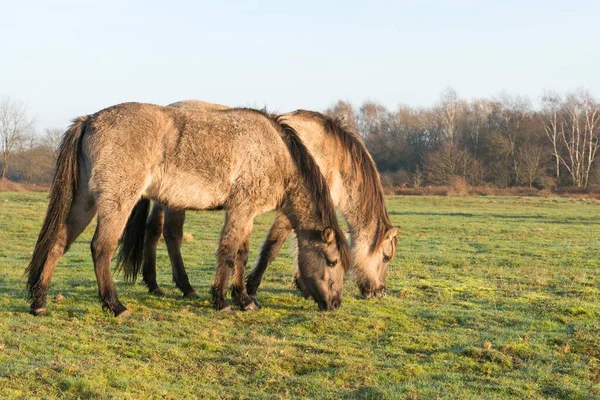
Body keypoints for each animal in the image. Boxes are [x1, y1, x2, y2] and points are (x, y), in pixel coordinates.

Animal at [25, 102, 350, 316]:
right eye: (331, 261)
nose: (335, 304)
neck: (275, 151)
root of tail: (89, 120)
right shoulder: (242, 208)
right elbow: (230, 252)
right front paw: (224, 300)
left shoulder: (246, 213)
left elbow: (241, 253)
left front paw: (244, 299)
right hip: (117, 201)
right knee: (101, 248)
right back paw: (115, 305)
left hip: (85, 202)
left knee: (59, 242)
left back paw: (39, 302)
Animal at [117, 100, 398, 306]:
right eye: (386, 257)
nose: (379, 292)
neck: (329, 155)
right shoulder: (287, 211)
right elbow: (272, 248)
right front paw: (249, 288)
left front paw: (301, 286)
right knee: (171, 235)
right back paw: (185, 288)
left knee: (154, 231)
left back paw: (155, 285)